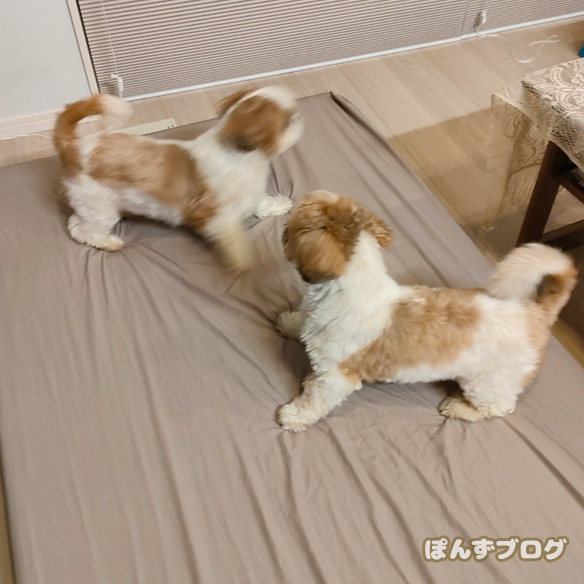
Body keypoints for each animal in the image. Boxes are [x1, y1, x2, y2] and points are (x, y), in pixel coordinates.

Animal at [53, 87, 304, 271]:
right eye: (286, 121)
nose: (298, 116)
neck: (242, 158)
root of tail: (71, 146)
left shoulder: (250, 194)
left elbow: (260, 203)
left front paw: (278, 205)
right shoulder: (209, 215)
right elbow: (231, 235)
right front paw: (242, 259)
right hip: (98, 205)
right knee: (79, 227)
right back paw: (108, 241)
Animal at [275, 190, 577, 432]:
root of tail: (535, 311)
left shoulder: (336, 377)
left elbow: (314, 400)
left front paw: (294, 416)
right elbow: (300, 322)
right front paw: (289, 324)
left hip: (488, 382)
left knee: (498, 406)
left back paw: (459, 407)